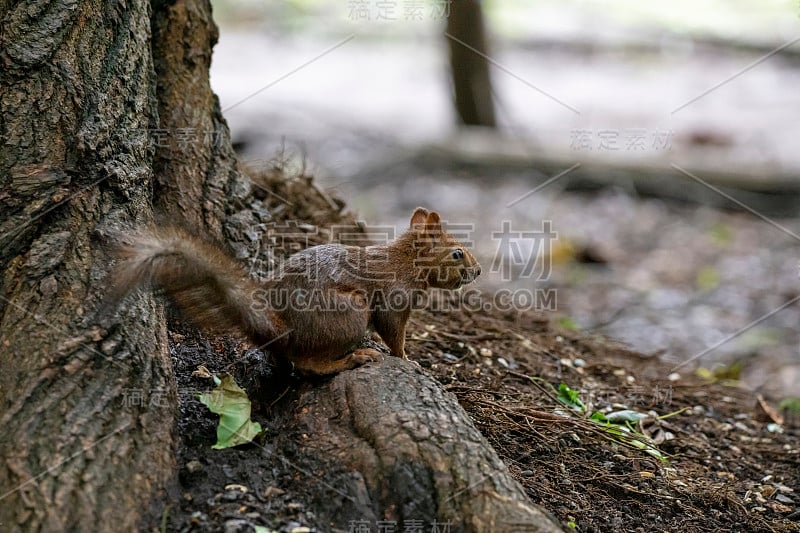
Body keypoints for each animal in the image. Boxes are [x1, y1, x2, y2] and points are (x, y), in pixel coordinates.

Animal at [106, 207, 482, 374]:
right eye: (457, 253)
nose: (477, 271)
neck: (405, 261)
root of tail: (281, 328)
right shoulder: (392, 296)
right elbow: (392, 331)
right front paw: (407, 358)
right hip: (348, 312)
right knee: (308, 364)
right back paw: (354, 357)